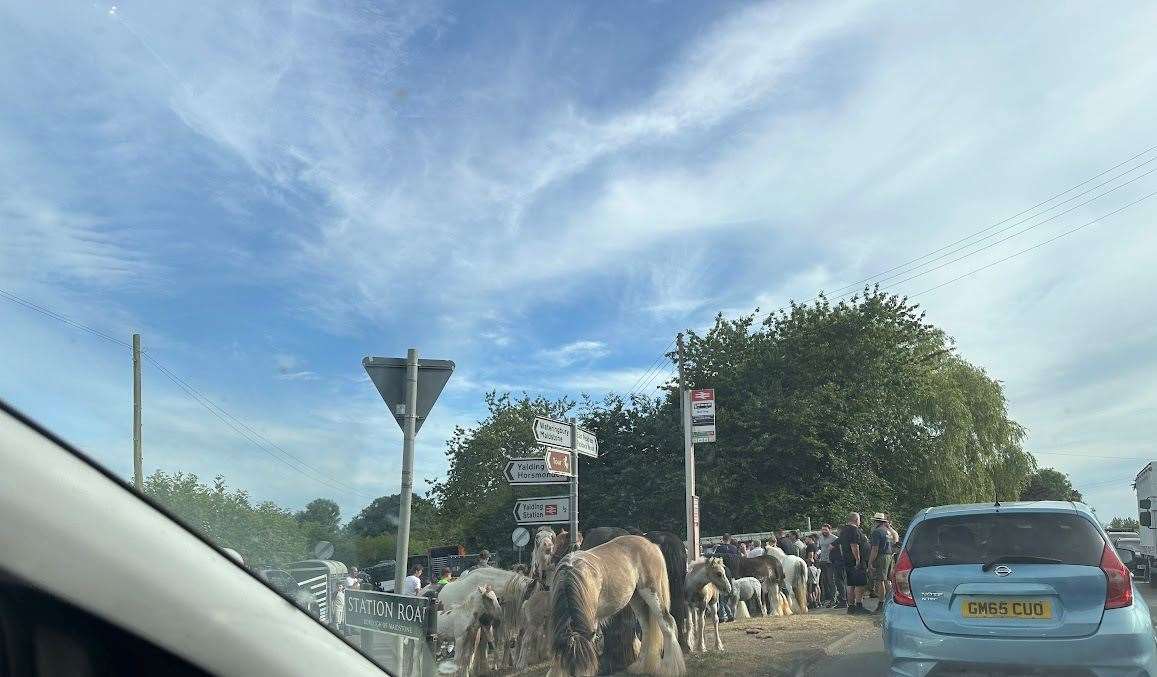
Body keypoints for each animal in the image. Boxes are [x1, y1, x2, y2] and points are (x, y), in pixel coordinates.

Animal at [546, 536, 680, 671]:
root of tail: (651, 545)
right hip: (637, 599)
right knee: (646, 629)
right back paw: (640, 666)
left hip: (652, 593)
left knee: (667, 624)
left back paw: (670, 668)